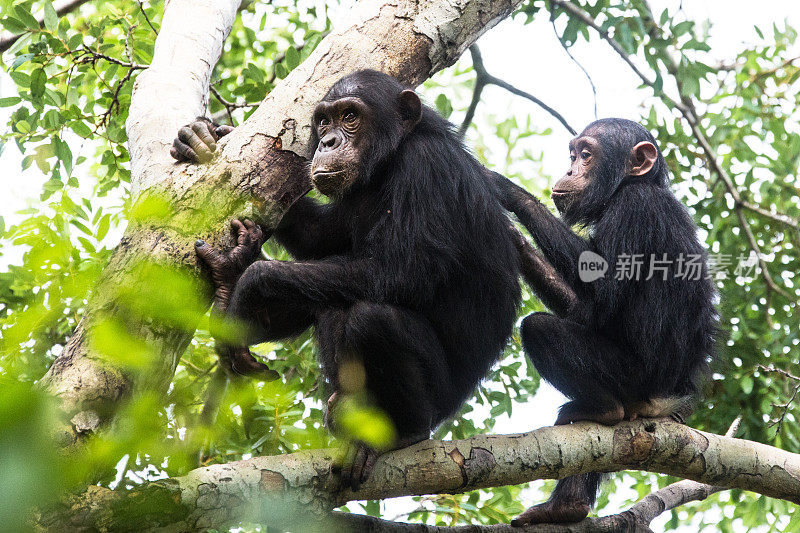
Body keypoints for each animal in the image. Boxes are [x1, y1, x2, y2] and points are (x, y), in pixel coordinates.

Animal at [170, 70, 520, 490]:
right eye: (323, 121)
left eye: (350, 116)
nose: (328, 141)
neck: (389, 162)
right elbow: (321, 237)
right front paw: (204, 137)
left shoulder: (427, 168)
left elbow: (402, 273)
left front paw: (252, 282)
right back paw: (228, 289)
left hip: (438, 402)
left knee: (372, 319)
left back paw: (401, 434)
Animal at [494, 117, 720, 524]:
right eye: (572, 155)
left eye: (586, 154)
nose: (570, 169)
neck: (628, 186)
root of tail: (668, 398)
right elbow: (585, 311)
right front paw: (514, 238)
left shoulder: (634, 208)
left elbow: (604, 291)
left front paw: (509, 192)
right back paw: (566, 506)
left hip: (631, 377)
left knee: (540, 330)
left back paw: (599, 409)